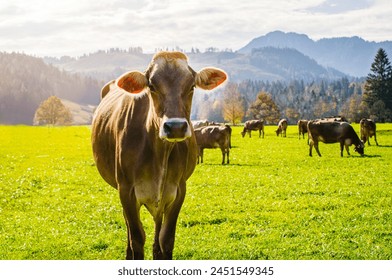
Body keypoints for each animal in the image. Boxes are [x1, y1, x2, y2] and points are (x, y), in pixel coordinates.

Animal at [90, 51, 228, 260]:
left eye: (192, 86)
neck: (159, 154)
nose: (176, 127)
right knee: (130, 229)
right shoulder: (126, 190)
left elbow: (166, 240)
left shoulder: (178, 190)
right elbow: (137, 238)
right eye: (152, 86)